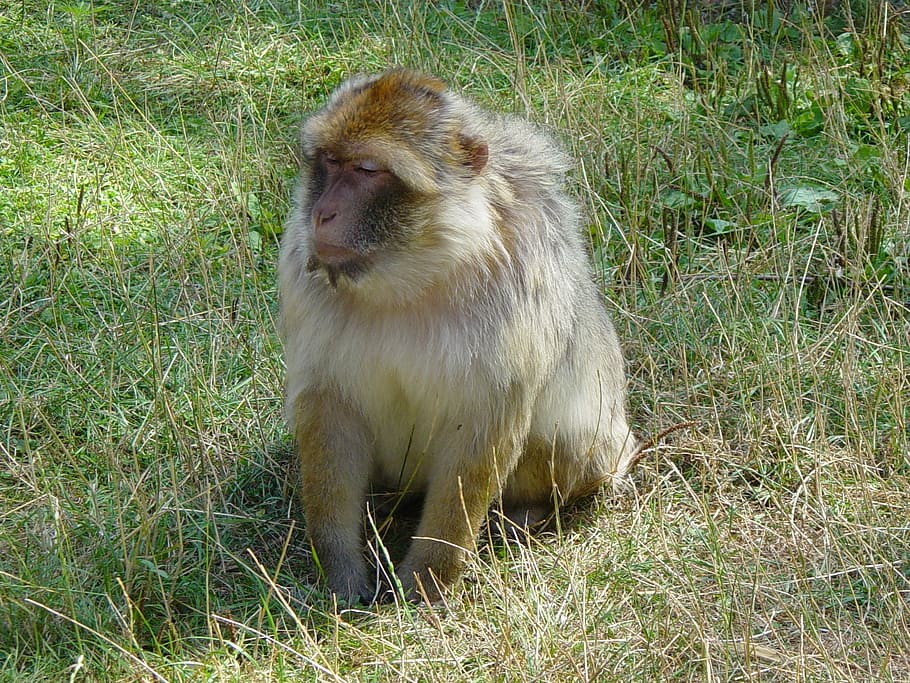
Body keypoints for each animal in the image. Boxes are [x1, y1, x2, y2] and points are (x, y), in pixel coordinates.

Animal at [278, 68, 637, 604]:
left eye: (368, 169)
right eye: (330, 162)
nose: (322, 213)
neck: (412, 274)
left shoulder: (516, 283)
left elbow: (481, 433)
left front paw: (425, 582)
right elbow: (329, 412)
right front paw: (341, 571)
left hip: (600, 451)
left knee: (564, 437)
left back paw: (528, 512)